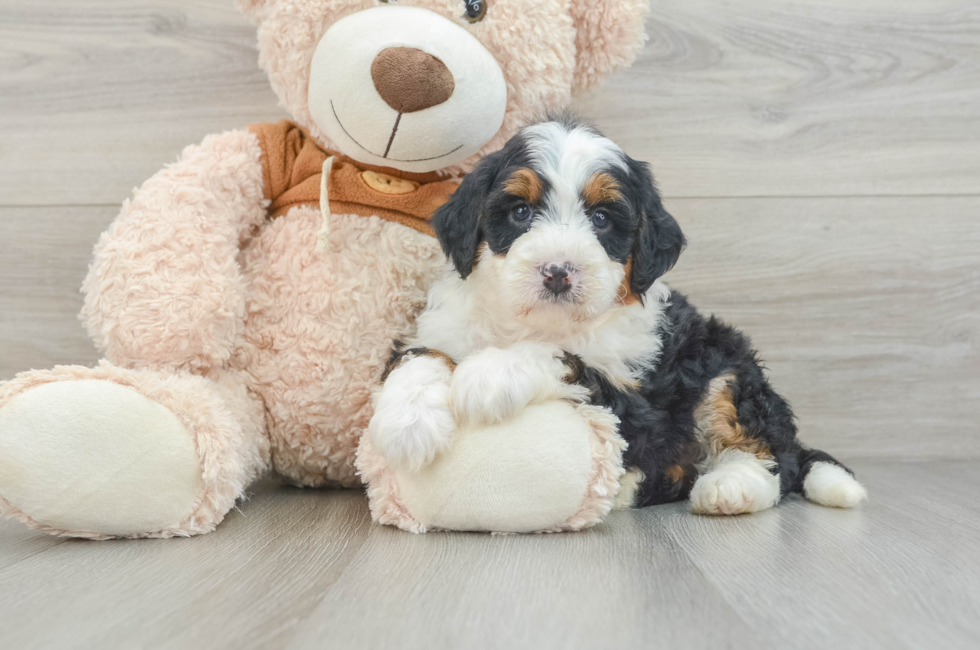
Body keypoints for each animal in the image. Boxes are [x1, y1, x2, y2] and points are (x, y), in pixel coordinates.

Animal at [372, 114, 868, 512]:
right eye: (520, 211)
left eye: (602, 219)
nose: (558, 271)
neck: (533, 321)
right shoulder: (443, 327)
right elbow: (422, 355)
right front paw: (406, 423)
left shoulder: (637, 402)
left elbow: (562, 358)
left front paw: (489, 373)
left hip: (725, 365)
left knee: (770, 453)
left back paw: (729, 487)